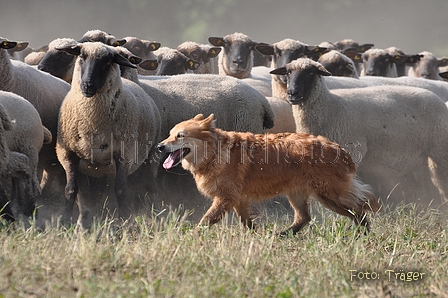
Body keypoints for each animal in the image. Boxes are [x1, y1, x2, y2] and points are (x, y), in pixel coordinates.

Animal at [54, 42, 161, 228]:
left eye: (107, 62)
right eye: (81, 56)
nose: (87, 85)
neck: (92, 122)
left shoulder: (124, 155)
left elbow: (121, 190)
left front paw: (124, 221)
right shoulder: (67, 153)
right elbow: (70, 189)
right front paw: (65, 221)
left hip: (150, 156)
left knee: (150, 188)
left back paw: (154, 217)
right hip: (101, 168)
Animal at [156, 114, 380, 235]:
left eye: (180, 136)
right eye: (169, 134)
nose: (159, 146)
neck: (214, 152)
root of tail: (337, 148)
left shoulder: (226, 198)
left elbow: (205, 220)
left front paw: (191, 236)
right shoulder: (239, 200)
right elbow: (246, 222)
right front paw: (257, 236)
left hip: (330, 195)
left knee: (359, 210)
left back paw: (363, 234)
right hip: (298, 194)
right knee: (304, 217)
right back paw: (284, 235)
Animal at [270, 58, 448, 207]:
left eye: (311, 73)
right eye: (288, 73)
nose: (292, 93)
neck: (330, 106)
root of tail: (438, 100)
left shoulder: (352, 150)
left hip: (440, 151)